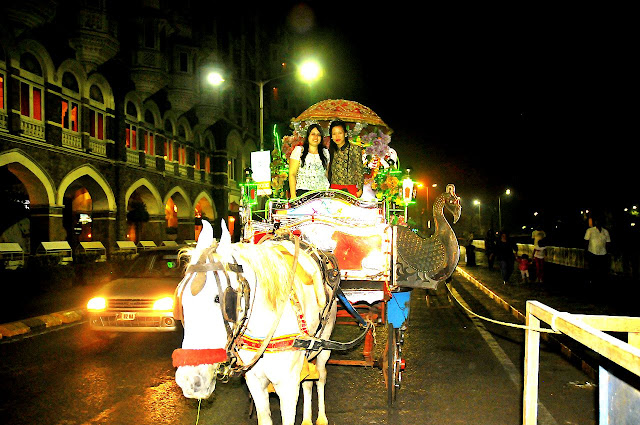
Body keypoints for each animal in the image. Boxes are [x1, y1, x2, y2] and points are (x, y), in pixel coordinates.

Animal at [173, 220, 338, 425]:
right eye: (181, 299)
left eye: (220, 299)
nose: (190, 380)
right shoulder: (254, 380)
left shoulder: (288, 385)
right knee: (307, 382)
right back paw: (307, 419)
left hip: (324, 342)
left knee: (320, 376)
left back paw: (321, 417)